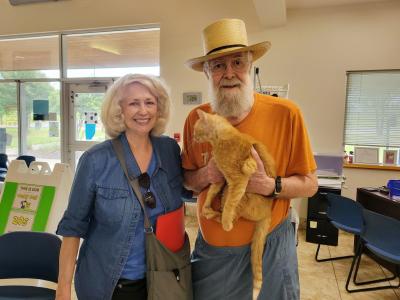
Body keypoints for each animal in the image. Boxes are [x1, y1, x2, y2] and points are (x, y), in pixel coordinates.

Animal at [193, 110, 276, 288]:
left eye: (196, 129)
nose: (193, 137)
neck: (220, 139)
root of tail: (268, 212)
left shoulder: (238, 181)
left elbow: (230, 206)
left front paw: (226, 225)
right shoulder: (219, 177)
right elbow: (211, 192)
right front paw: (206, 206)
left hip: (239, 195)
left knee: (231, 213)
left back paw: (218, 217)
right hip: (227, 191)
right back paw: (208, 212)